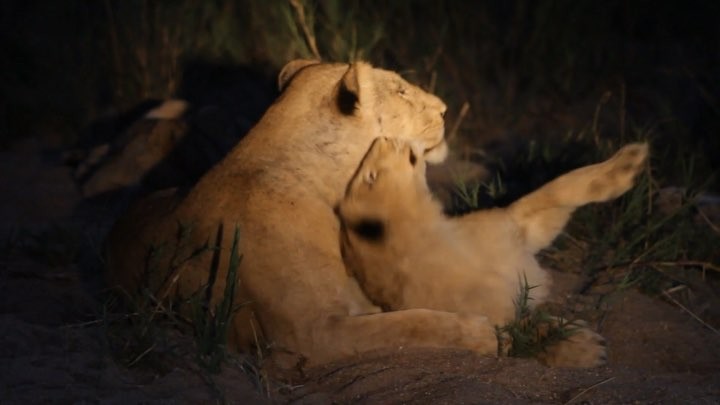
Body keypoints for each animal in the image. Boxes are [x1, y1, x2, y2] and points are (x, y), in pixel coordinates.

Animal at [105, 60, 505, 368]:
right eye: (400, 91)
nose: (444, 109)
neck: (331, 182)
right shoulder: (309, 335)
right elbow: (408, 324)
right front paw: (483, 333)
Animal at [337, 137, 649, 367]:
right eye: (369, 176)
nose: (384, 138)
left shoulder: (515, 227)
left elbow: (560, 187)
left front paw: (628, 163)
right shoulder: (494, 320)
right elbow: (528, 330)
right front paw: (583, 347)